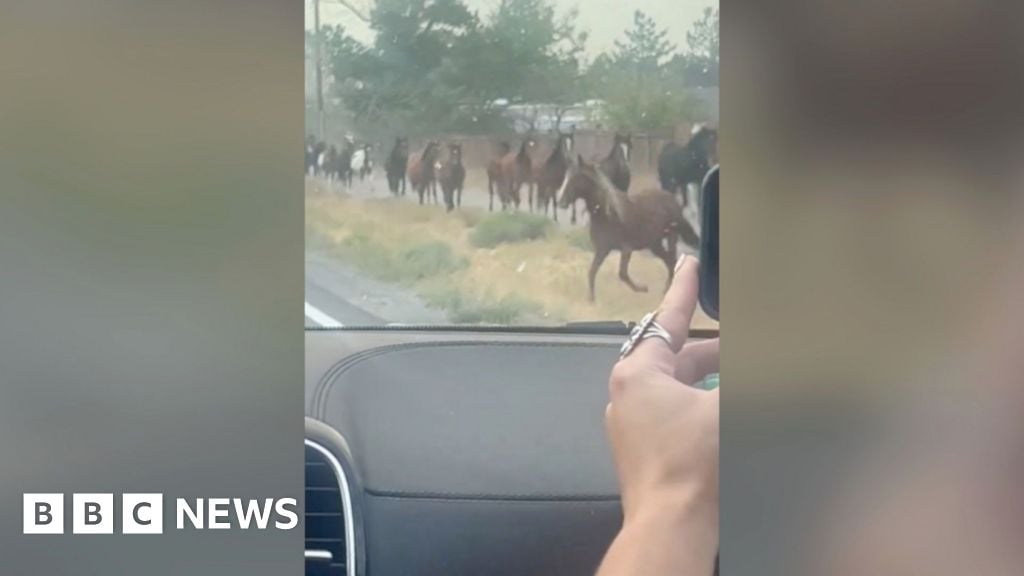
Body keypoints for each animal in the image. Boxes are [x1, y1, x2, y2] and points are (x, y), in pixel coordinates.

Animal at [557, 154, 700, 303]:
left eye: (575, 178)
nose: (561, 203)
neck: (608, 214)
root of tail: (673, 201)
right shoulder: (602, 250)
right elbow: (592, 272)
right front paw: (591, 300)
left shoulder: (626, 248)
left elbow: (622, 274)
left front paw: (643, 288)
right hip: (654, 244)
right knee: (669, 260)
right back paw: (666, 289)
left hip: (671, 237)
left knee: (672, 260)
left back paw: (668, 289)